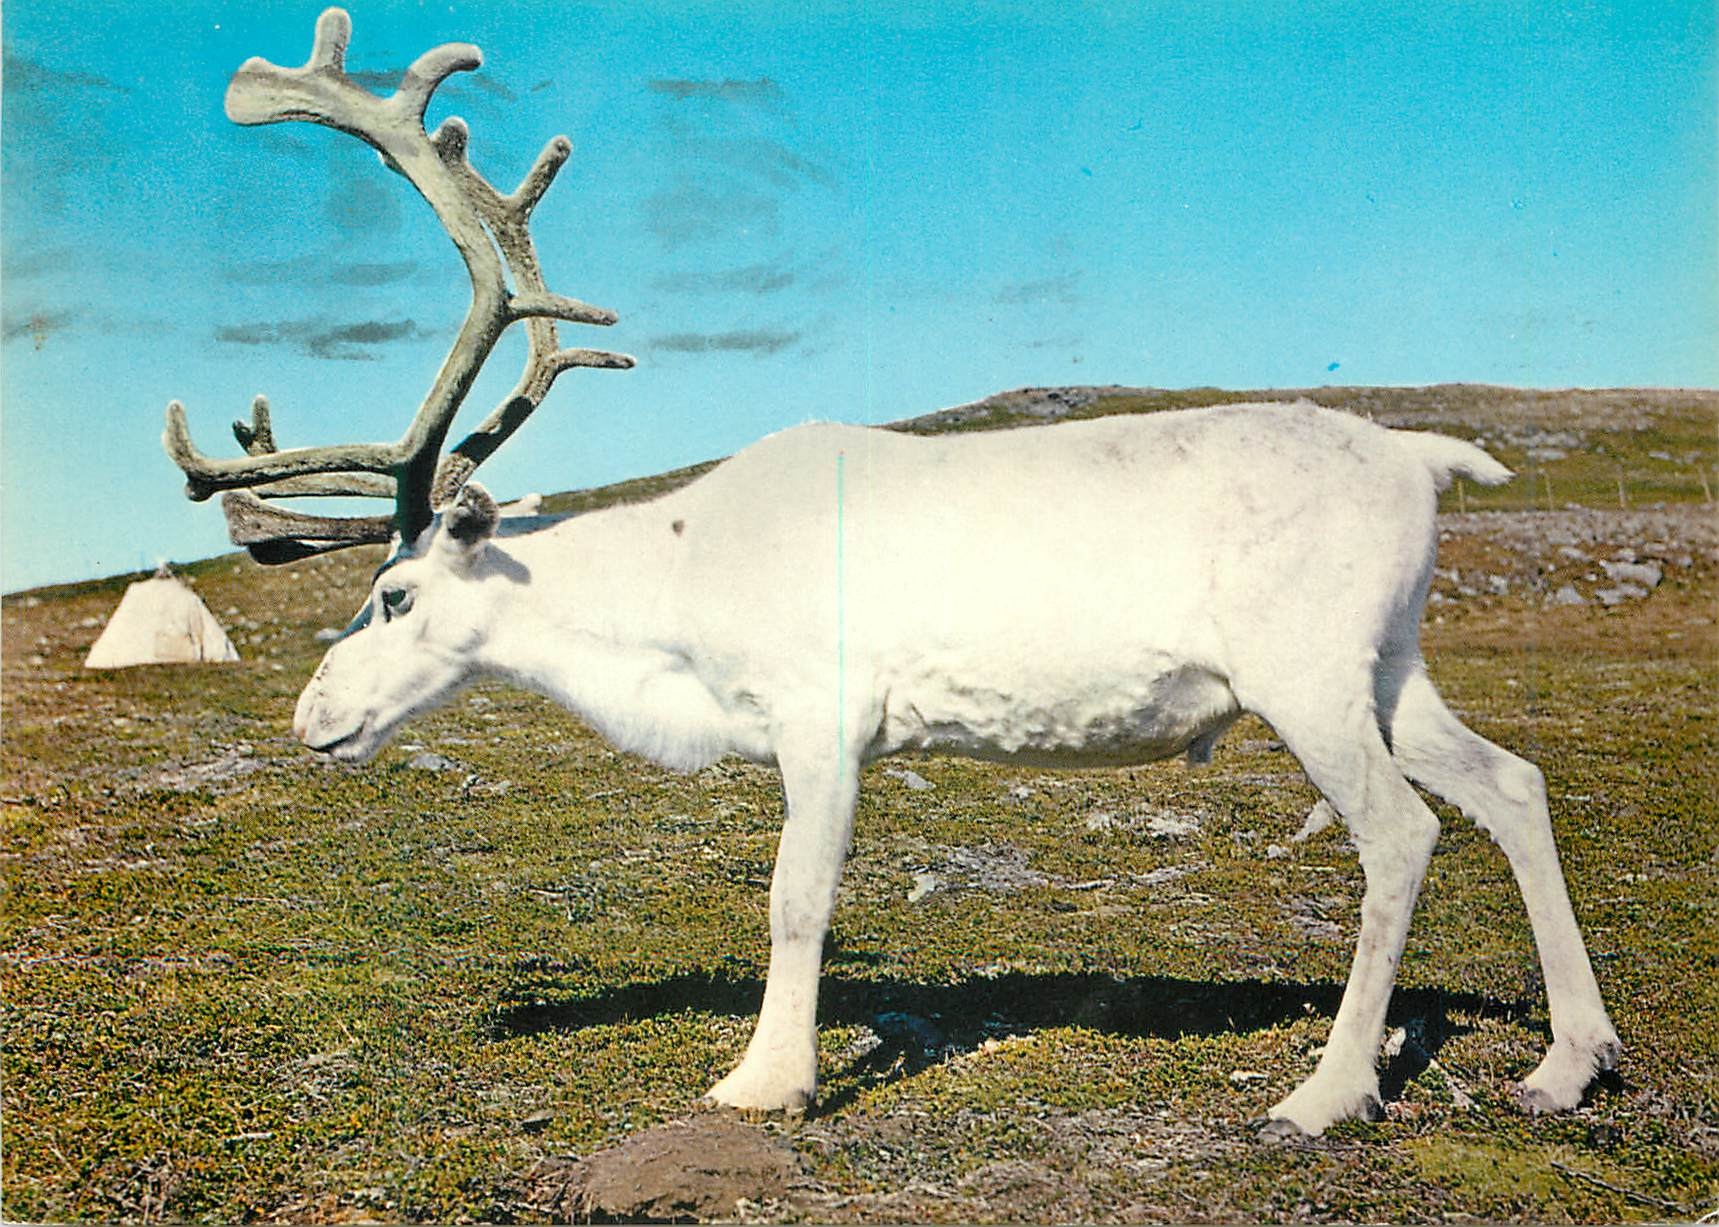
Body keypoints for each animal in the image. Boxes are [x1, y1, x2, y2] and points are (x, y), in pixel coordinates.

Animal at [164, 8, 1620, 1138]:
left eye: (396, 595)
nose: (311, 716)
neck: (670, 616)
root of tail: (1420, 458)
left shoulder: (823, 716)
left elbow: (795, 898)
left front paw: (765, 1080)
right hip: (1391, 665)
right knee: (1512, 783)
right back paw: (1567, 1062)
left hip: (1305, 672)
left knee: (1402, 832)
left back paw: (1325, 1093)